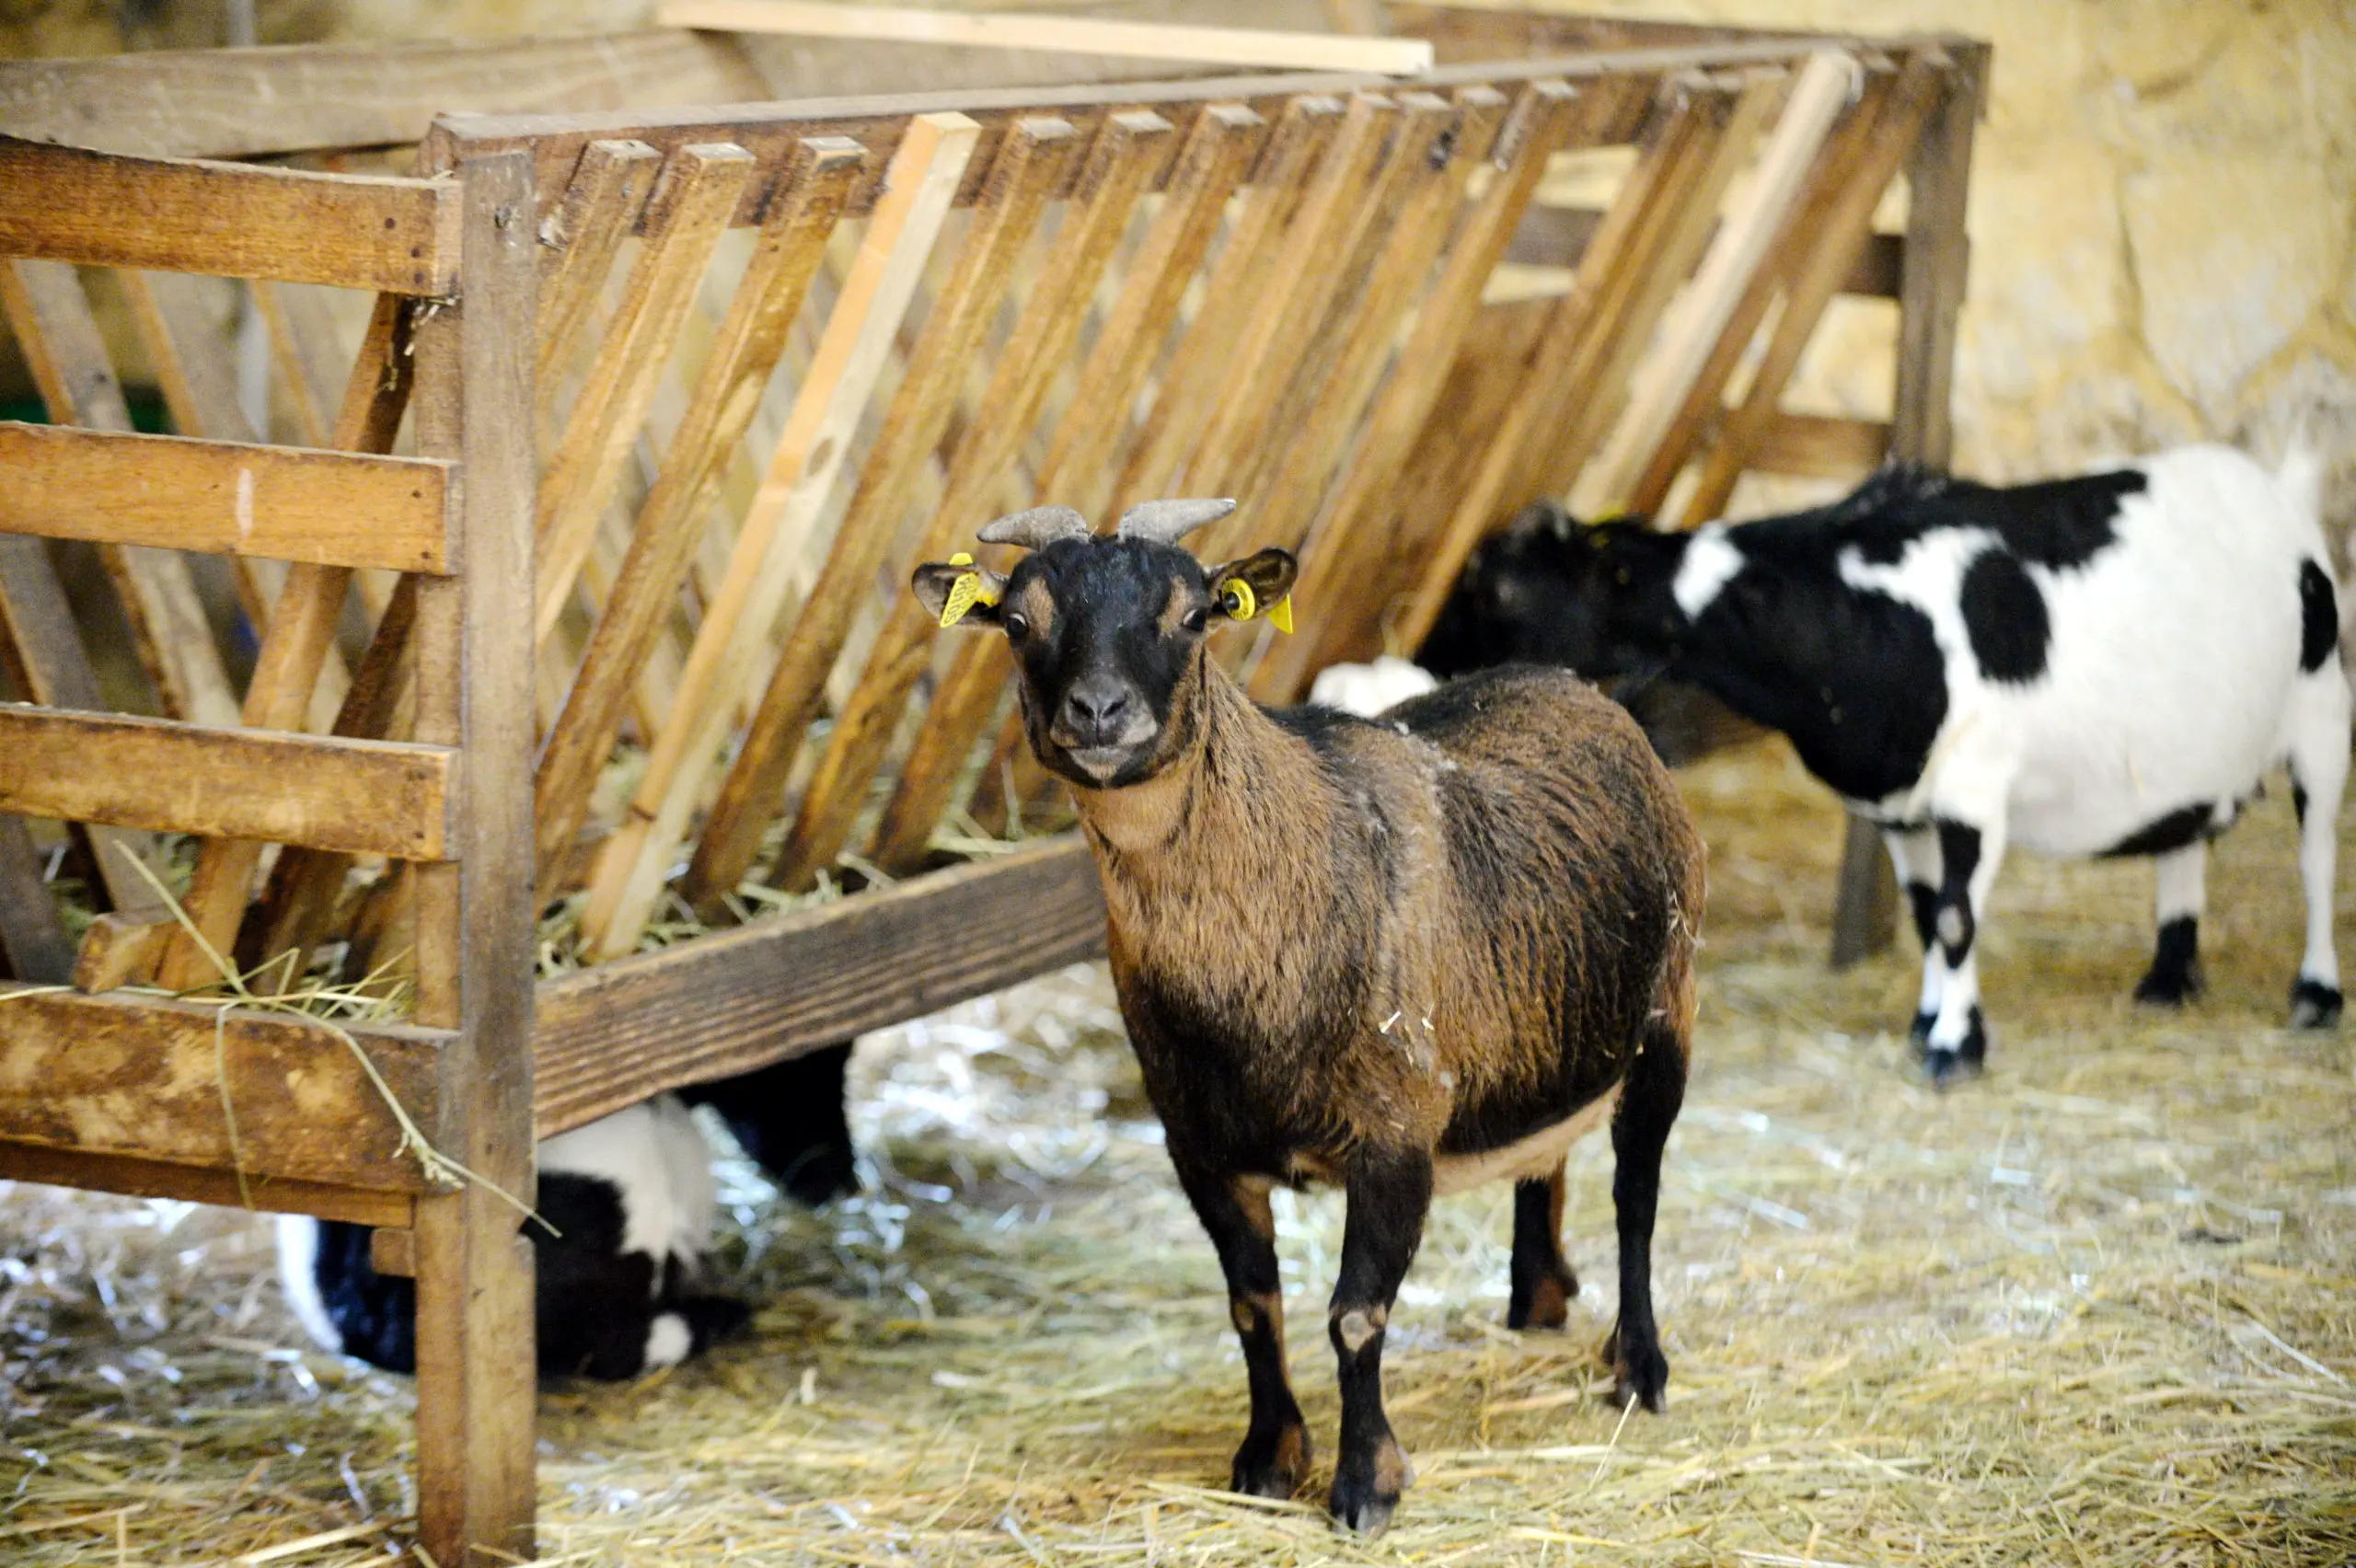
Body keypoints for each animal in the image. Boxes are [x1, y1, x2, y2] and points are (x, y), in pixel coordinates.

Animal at [913, 499, 1705, 1536]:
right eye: (1016, 620)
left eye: (1194, 615)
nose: (1097, 713)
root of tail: (1574, 685)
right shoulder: (1201, 1146)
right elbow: (1254, 1305)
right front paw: (1267, 1459)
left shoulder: (1395, 1135)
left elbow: (1355, 1315)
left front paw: (1365, 1485)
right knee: (1547, 1157)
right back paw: (1536, 1299)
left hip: (1668, 1013)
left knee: (1637, 1198)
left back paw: (1638, 1366)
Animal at [1421, 445, 2347, 1083]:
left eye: (1497, 588)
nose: (1427, 659)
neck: (1853, 606)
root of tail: (2277, 488)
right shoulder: (1898, 798)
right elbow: (1928, 910)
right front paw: (1931, 1021)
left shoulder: (1974, 782)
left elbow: (1957, 920)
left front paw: (1953, 1049)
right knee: (2184, 834)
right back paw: (2168, 978)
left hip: (2320, 714)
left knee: (2317, 859)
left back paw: (2315, 994)